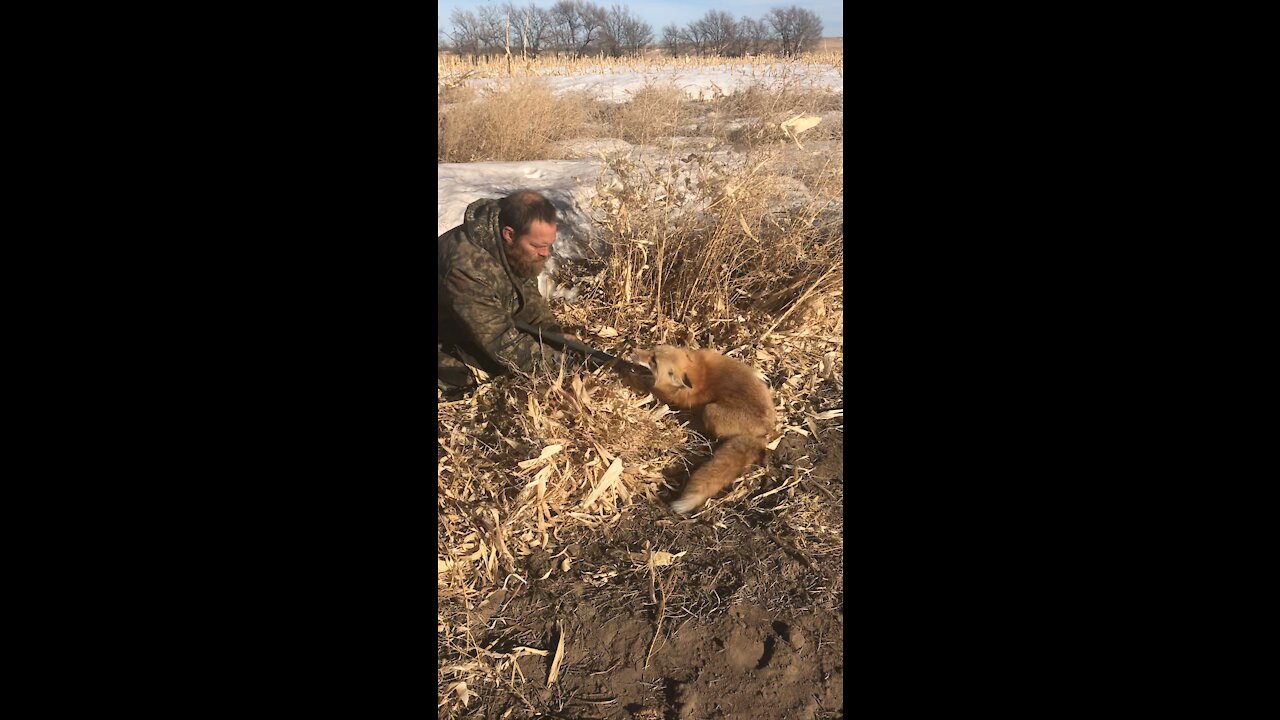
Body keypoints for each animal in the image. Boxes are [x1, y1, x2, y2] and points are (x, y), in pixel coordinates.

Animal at [632, 345, 773, 512]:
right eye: (653, 350)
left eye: (653, 361)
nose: (633, 351)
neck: (696, 371)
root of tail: (765, 432)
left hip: (710, 411)